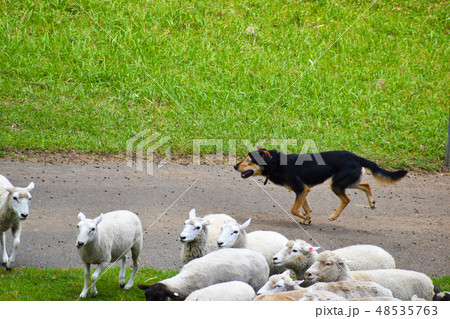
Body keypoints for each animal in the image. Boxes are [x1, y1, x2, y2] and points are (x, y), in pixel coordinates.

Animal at [236, 148, 408, 225]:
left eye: (249, 161)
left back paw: (334, 216)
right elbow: (306, 208)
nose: (235, 166)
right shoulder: (303, 191)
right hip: (347, 181)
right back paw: (371, 203)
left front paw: (304, 217)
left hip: (336, 184)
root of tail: (354, 156)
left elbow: (294, 209)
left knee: (347, 200)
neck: (275, 163)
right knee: (366, 184)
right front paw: (307, 219)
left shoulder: (302, 189)